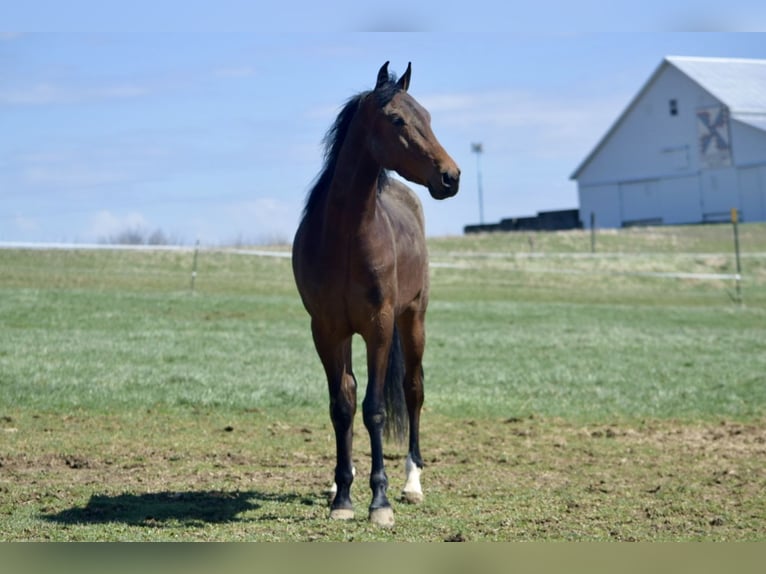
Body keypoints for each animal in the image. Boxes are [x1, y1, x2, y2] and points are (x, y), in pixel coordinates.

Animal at [292, 62, 460, 527]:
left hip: (413, 320)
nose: (451, 176)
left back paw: (412, 483)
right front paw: (343, 495)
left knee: (413, 390)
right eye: (398, 120)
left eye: (428, 117)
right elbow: (343, 405)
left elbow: (376, 409)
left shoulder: (379, 327)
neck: (346, 236)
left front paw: (380, 501)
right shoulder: (328, 330)